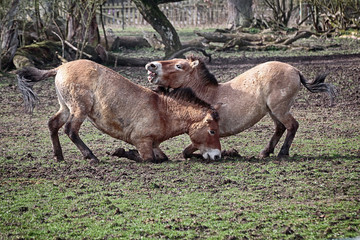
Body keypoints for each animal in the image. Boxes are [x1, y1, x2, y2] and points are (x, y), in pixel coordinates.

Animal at [18, 59, 224, 164]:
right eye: (212, 131)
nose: (217, 156)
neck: (162, 110)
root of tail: (60, 67)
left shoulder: (154, 144)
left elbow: (162, 157)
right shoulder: (142, 142)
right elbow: (149, 159)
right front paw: (122, 152)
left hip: (66, 108)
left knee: (53, 124)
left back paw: (59, 156)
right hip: (79, 109)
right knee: (70, 130)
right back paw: (91, 156)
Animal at [145, 56, 336, 158]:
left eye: (179, 65)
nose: (151, 65)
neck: (208, 94)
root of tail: (296, 71)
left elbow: (188, 150)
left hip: (280, 110)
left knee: (292, 126)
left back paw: (282, 152)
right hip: (273, 111)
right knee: (280, 128)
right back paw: (265, 152)